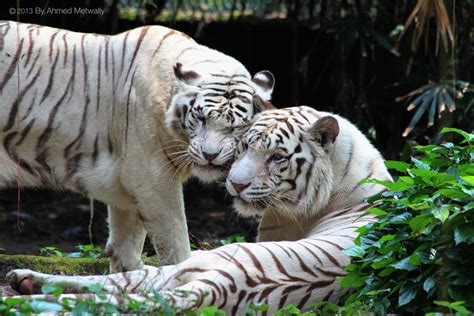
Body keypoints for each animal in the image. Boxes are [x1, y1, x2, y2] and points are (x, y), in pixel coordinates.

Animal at [0, 20, 274, 272]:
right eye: (201, 118)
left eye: (237, 127)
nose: (210, 155)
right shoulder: (152, 178)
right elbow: (174, 240)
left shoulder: (126, 189)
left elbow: (125, 246)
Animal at [6, 105, 392, 314]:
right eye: (244, 146)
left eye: (277, 157)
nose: (235, 184)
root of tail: (226, 285)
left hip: (193, 264)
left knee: (110, 284)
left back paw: (24, 282)